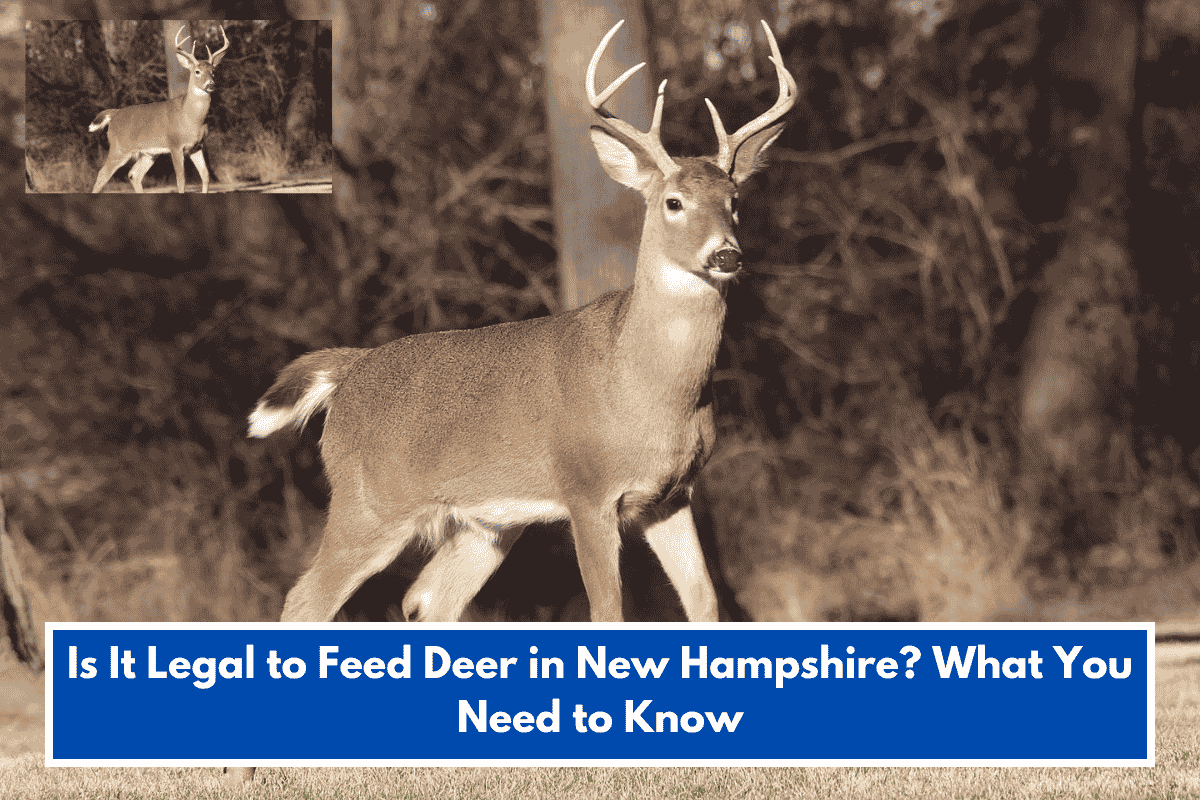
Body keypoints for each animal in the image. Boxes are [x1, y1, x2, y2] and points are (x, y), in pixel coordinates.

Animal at [88, 24, 229, 193]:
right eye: (197, 71)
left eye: (213, 71)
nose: (210, 84)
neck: (191, 118)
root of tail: (114, 114)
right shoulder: (175, 145)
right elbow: (181, 180)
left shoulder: (197, 146)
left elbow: (205, 176)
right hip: (119, 148)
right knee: (102, 174)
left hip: (148, 153)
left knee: (133, 174)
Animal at [227, 18, 793, 784]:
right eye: (672, 202)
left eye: (737, 201)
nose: (727, 254)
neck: (649, 389)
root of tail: (349, 373)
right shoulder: (588, 491)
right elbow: (609, 614)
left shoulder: (670, 496)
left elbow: (705, 606)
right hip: (369, 501)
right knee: (305, 600)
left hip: (484, 524)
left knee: (425, 599)